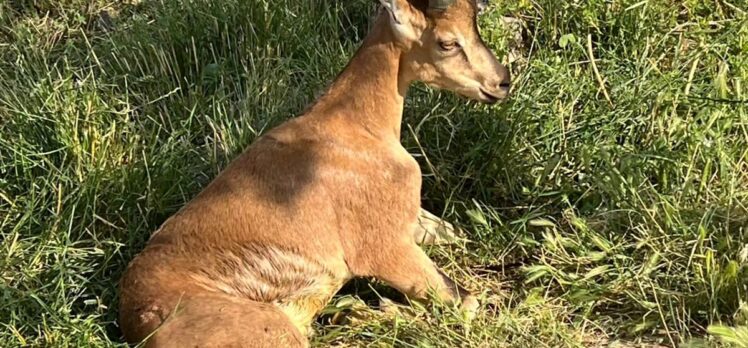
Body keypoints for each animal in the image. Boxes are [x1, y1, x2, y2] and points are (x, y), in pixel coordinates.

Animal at [120, 0, 512, 346]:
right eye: (447, 42)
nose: (501, 82)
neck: (356, 125)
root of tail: (141, 319)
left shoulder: (412, 219)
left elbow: (459, 236)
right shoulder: (385, 246)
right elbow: (465, 301)